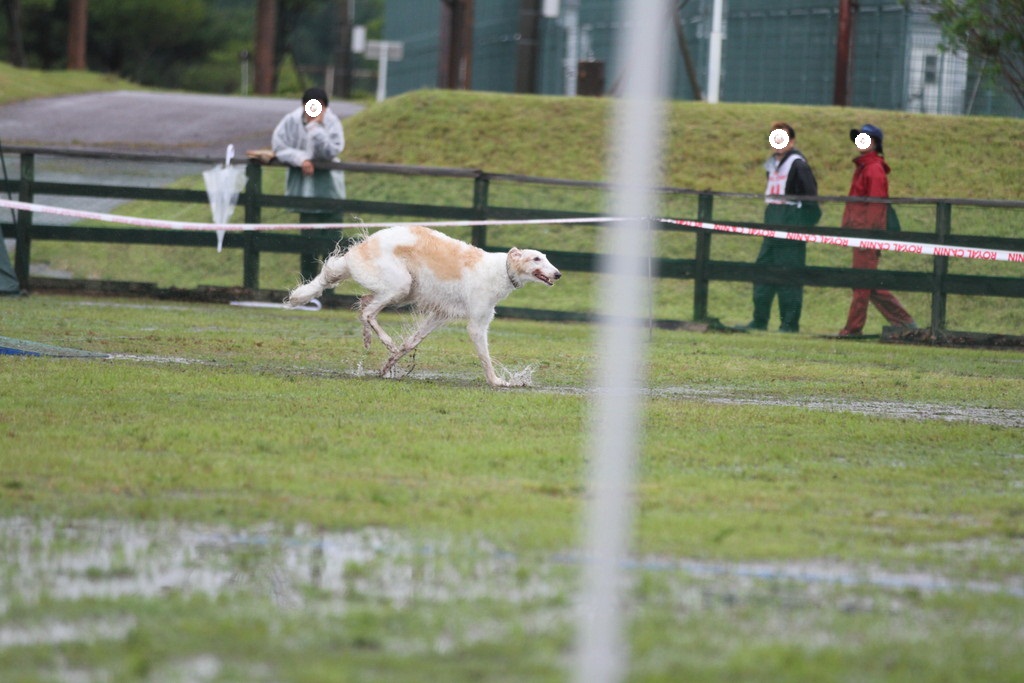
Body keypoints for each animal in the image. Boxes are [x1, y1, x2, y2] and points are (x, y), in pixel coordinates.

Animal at [286, 224, 561, 385]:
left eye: (547, 257)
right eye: (536, 258)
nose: (558, 274)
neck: (501, 270)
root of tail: (360, 248)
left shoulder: (439, 315)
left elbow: (411, 343)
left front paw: (388, 367)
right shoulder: (476, 324)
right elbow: (485, 356)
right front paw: (496, 381)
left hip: (402, 292)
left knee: (363, 304)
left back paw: (372, 342)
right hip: (401, 285)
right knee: (368, 312)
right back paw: (384, 341)